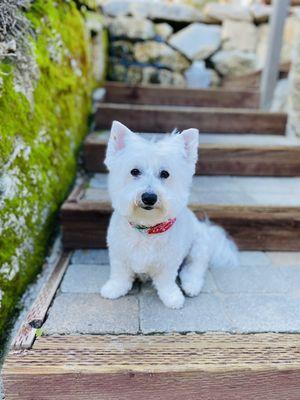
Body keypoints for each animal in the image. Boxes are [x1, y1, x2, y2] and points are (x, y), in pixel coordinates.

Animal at [101, 120, 239, 308]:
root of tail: (206, 228)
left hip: (198, 246)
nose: (149, 197)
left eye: (165, 174)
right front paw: (114, 288)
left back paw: (191, 285)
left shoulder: (169, 261)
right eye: (134, 171)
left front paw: (172, 297)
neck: (146, 229)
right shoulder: (118, 254)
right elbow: (120, 274)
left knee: (195, 267)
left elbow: (166, 281)